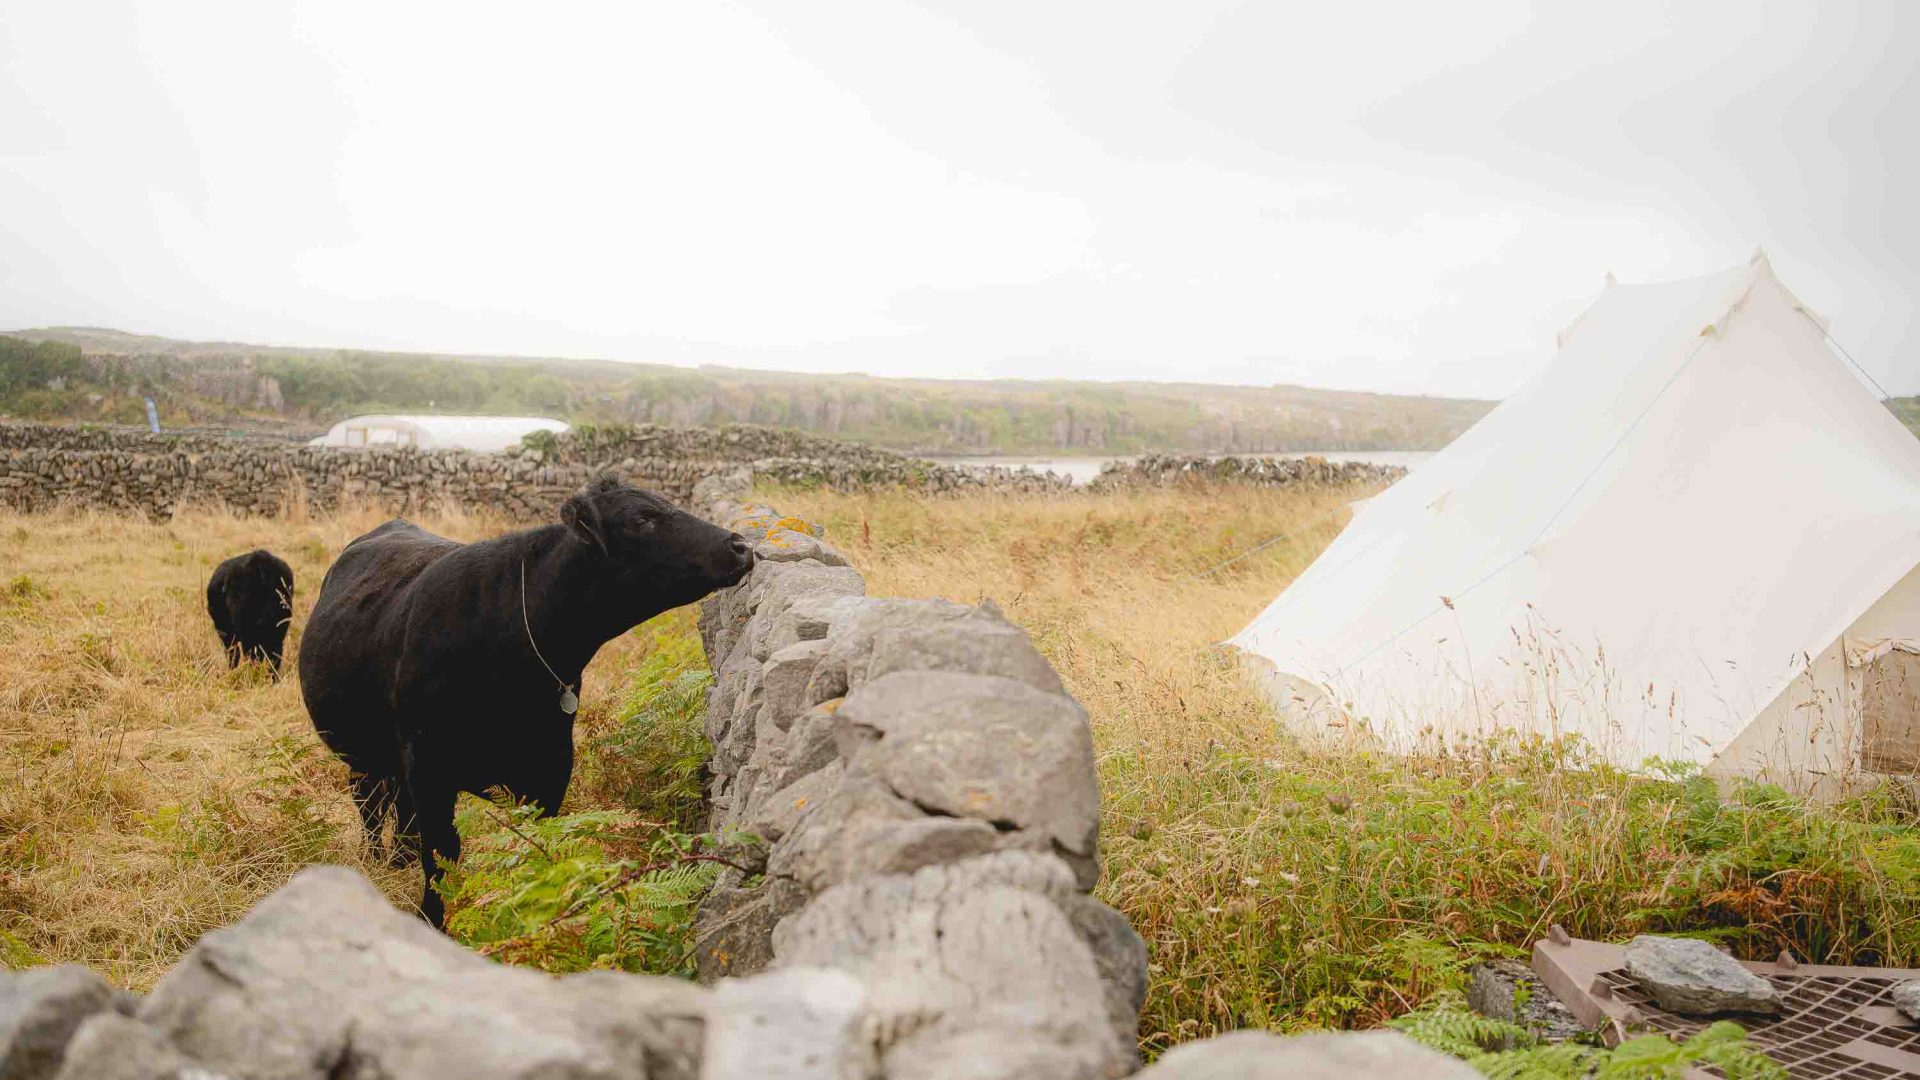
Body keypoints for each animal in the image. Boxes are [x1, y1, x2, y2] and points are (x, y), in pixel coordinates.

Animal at [297, 475, 755, 926]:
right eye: (642, 518)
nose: (741, 545)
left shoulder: (548, 768)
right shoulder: (430, 768)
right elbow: (442, 857)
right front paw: (431, 921)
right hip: (363, 756)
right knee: (371, 807)